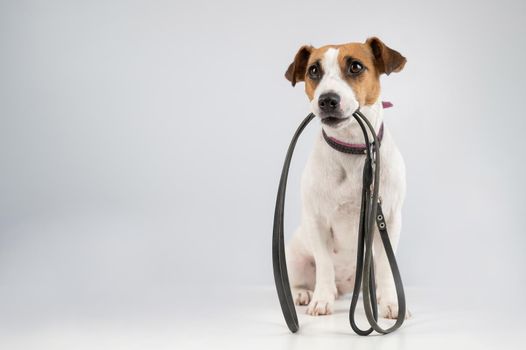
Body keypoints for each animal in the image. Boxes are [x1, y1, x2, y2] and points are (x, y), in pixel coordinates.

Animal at [284, 37, 408, 318]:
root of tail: (346, 287)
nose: (327, 100)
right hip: (294, 254)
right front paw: (321, 299)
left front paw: (391, 302)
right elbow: (324, 263)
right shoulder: (317, 221)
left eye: (355, 66)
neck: (353, 148)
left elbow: (387, 268)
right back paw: (303, 294)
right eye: (313, 71)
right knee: (301, 278)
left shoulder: (389, 219)